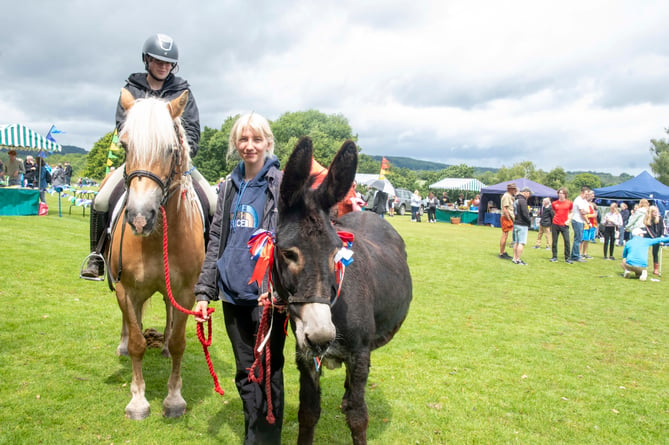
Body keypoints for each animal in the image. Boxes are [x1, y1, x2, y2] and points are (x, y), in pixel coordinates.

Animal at [107, 88, 204, 418]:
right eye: (125, 145)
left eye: (170, 149)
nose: (140, 218)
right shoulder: (125, 289)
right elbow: (138, 341)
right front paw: (138, 400)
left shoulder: (185, 292)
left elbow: (178, 343)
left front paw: (174, 399)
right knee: (131, 322)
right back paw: (123, 345)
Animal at [272, 137, 412, 442]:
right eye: (288, 253)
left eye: (337, 252)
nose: (322, 336)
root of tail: (370, 215)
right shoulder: (305, 357)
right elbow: (308, 413)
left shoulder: (359, 354)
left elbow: (359, 417)